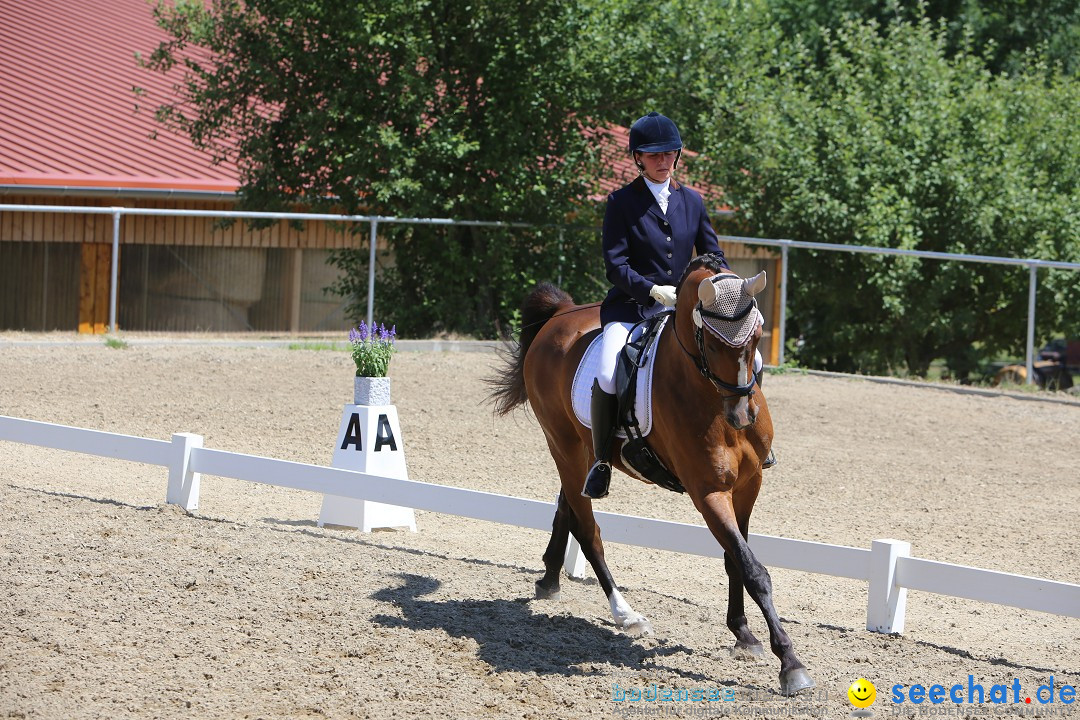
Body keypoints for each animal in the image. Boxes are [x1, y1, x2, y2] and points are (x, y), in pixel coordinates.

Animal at [486, 254, 812, 699]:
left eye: (757, 337)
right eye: (712, 344)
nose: (743, 416)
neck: (707, 396)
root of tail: (561, 314)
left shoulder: (747, 487)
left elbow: (736, 560)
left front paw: (743, 634)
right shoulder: (708, 493)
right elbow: (753, 570)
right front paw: (790, 664)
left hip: (581, 451)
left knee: (568, 503)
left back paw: (550, 578)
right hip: (562, 445)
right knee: (588, 529)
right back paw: (625, 614)